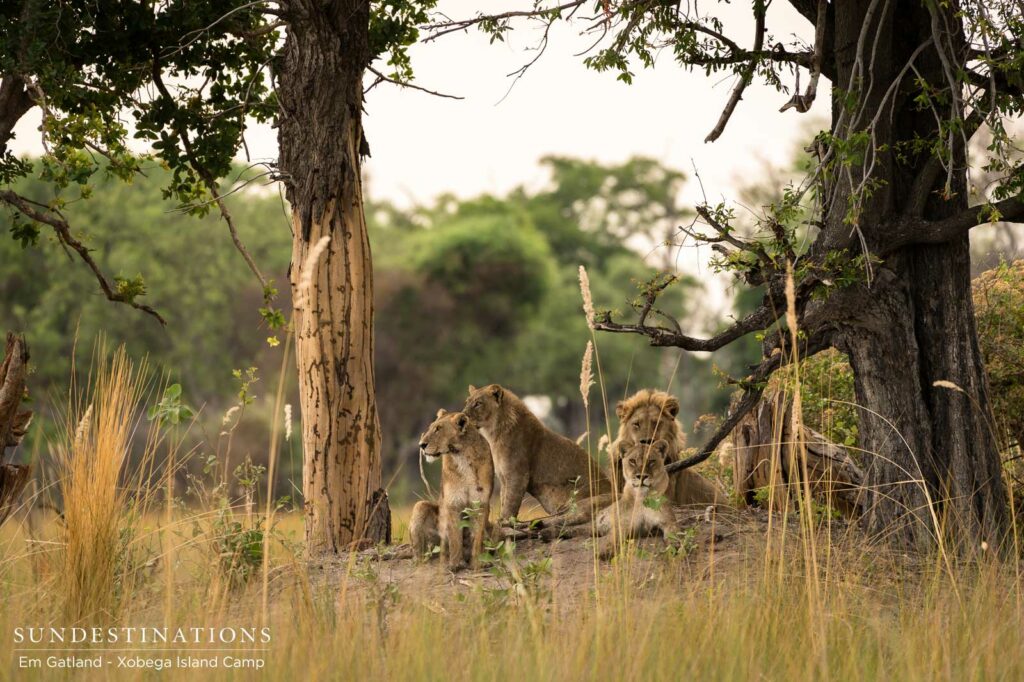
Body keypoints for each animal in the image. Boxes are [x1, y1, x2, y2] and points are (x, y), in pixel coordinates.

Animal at [408, 409, 494, 571]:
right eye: (430, 427)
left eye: (438, 429)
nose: (421, 445)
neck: (462, 454)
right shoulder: (453, 502)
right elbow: (455, 537)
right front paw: (455, 564)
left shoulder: (480, 503)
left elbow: (478, 537)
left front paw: (477, 563)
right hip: (421, 507)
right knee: (424, 551)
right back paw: (421, 561)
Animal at [463, 384, 613, 523]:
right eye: (467, 402)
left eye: (478, 403)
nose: (463, 416)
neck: (494, 433)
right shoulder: (504, 476)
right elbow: (503, 499)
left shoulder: (518, 475)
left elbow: (510, 503)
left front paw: (504, 521)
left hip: (585, 502)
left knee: (570, 518)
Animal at [547, 439, 682, 559]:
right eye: (632, 461)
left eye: (651, 461)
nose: (641, 476)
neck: (642, 497)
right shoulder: (622, 524)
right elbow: (615, 536)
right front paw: (606, 551)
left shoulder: (668, 521)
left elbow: (674, 533)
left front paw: (676, 545)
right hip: (581, 514)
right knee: (561, 521)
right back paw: (543, 527)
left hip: (591, 525)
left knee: (576, 530)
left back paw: (545, 533)